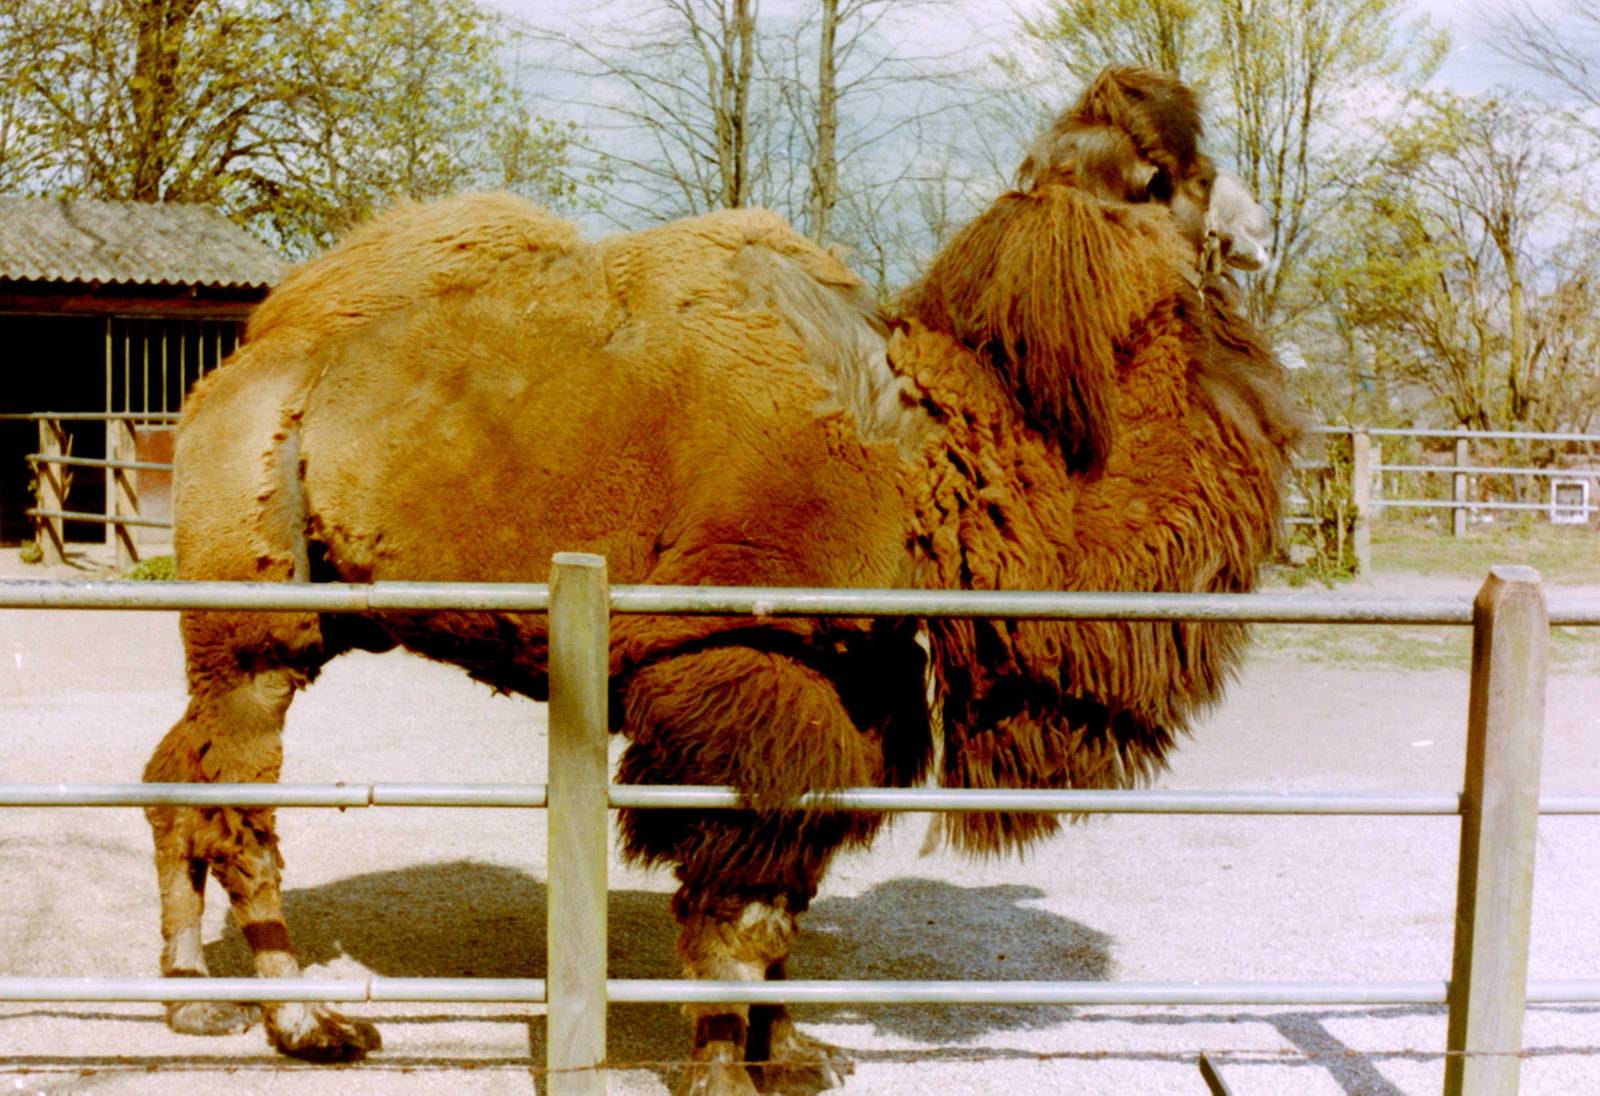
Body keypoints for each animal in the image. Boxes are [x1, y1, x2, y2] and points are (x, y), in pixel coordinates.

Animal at [141, 67, 1300, 1094]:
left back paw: (189, 997)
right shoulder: (742, 673)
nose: (1255, 230)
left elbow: (786, 898)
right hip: (256, 611)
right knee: (241, 804)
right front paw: (718, 1068)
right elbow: (737, 909)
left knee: (174, 770)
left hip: (289, 618)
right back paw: (306, 1024)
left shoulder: (857, 694)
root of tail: (227, 378)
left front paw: (793, 1054)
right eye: (1166, 174)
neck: (924, 458)